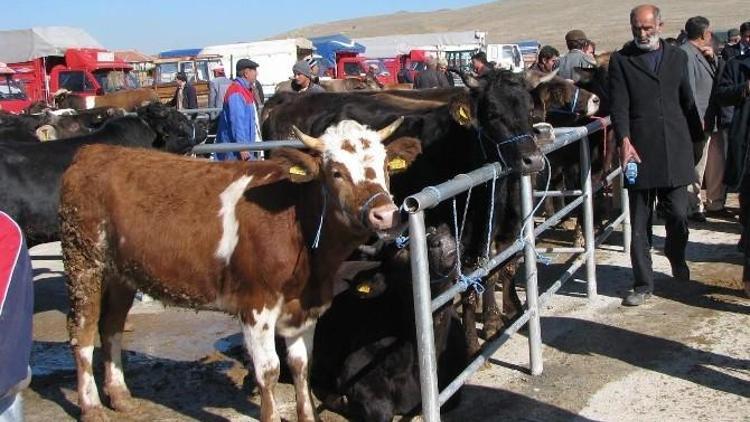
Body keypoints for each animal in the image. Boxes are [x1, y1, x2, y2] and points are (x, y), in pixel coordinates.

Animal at [58, 117, 424, 420]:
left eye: (384, 166)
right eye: (336, 172)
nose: (385, 214)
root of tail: (93, 152)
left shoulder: (305, 308)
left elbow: (301, 365)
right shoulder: (255, 306)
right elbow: (269, 371)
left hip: (121, 272)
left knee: (111, 326)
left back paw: (120, 396)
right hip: (84, 262)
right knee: (83, 331)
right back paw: (91, 406)